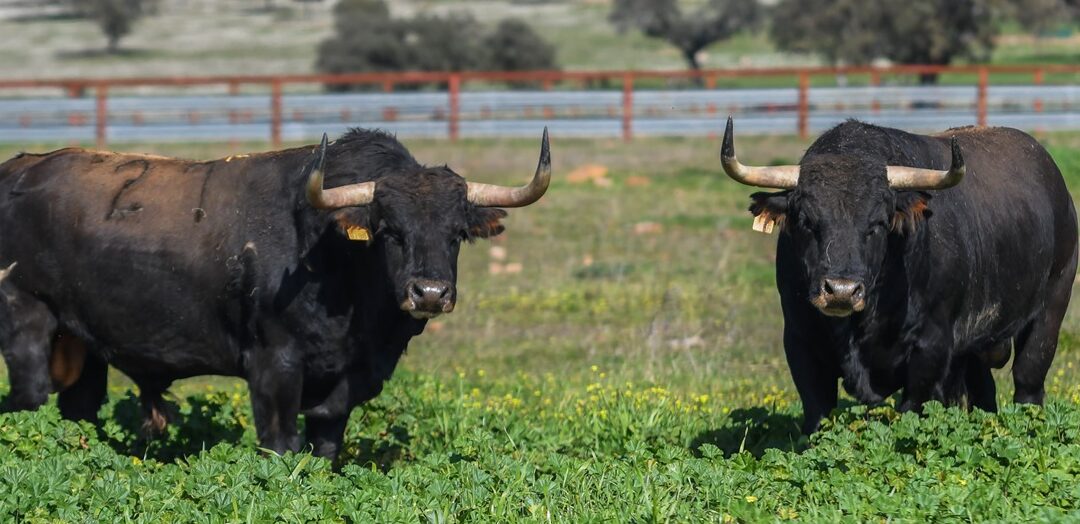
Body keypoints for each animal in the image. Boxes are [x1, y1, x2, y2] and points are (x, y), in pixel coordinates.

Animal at [0, 127, 552, 458]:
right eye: (389, 230)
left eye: (457, 233)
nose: (431, 293)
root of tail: (15, 171)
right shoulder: (274, 367)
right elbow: (281, 444)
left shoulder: (344, 388)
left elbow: (325, 446)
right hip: (26, 324)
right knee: (28, 401)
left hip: (80, 347)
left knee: (76, 409)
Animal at [725, 118, 1080, 432]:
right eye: (806, 220)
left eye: (877, 223)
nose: (841, 291)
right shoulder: (801, 344)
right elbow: (817, 417)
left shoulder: (931, 348)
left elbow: (913, 410)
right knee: (984, 393)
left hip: (1051, 309)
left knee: (1028, 380)